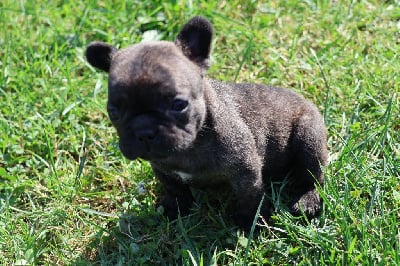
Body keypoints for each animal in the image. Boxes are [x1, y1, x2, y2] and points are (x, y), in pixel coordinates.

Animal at [86, 15, 326, 230]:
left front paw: (251, 222)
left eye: (179, 104)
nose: (144, 131)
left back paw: (307, 200)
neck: (189, 147)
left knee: (311, 175)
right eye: (113, 112)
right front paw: (176, 208)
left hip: (309, 137)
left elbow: (249, 196)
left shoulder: (246, 171)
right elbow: (174, 189)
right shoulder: (163, 169)